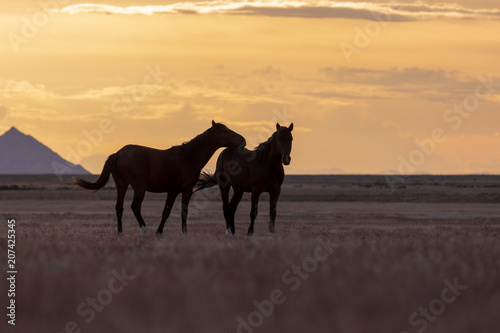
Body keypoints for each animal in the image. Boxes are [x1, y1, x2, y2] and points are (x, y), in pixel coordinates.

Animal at [74, 121, 246, 233]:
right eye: (225, 131)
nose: (243, 141)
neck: (188, 156)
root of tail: (118, 154)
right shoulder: (187, 190)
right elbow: (184, 211)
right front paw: (184, 233)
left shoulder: (172, 191)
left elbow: (166, 212)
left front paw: (159, 232)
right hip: (139, 188)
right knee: (135, 207)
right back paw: (144, 230)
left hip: (121, 185)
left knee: (119, 207)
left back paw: (120, 232)